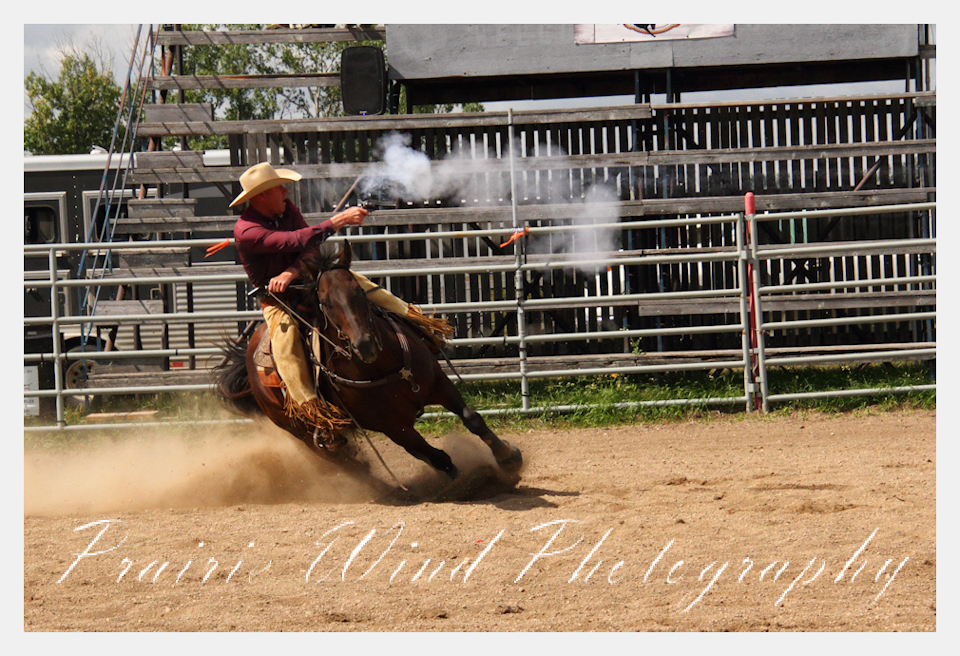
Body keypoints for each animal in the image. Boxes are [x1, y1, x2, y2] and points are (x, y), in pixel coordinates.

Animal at [216, 241, 523, 489]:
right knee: (343, 462)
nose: (365, 345)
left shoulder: (438, 383)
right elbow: (431, 454)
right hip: (297, 429)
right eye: (325, 302)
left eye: (360, 292)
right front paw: (466, 477)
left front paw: (509, 457)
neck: (382, 368)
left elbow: (472, 418)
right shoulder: (391, 426)